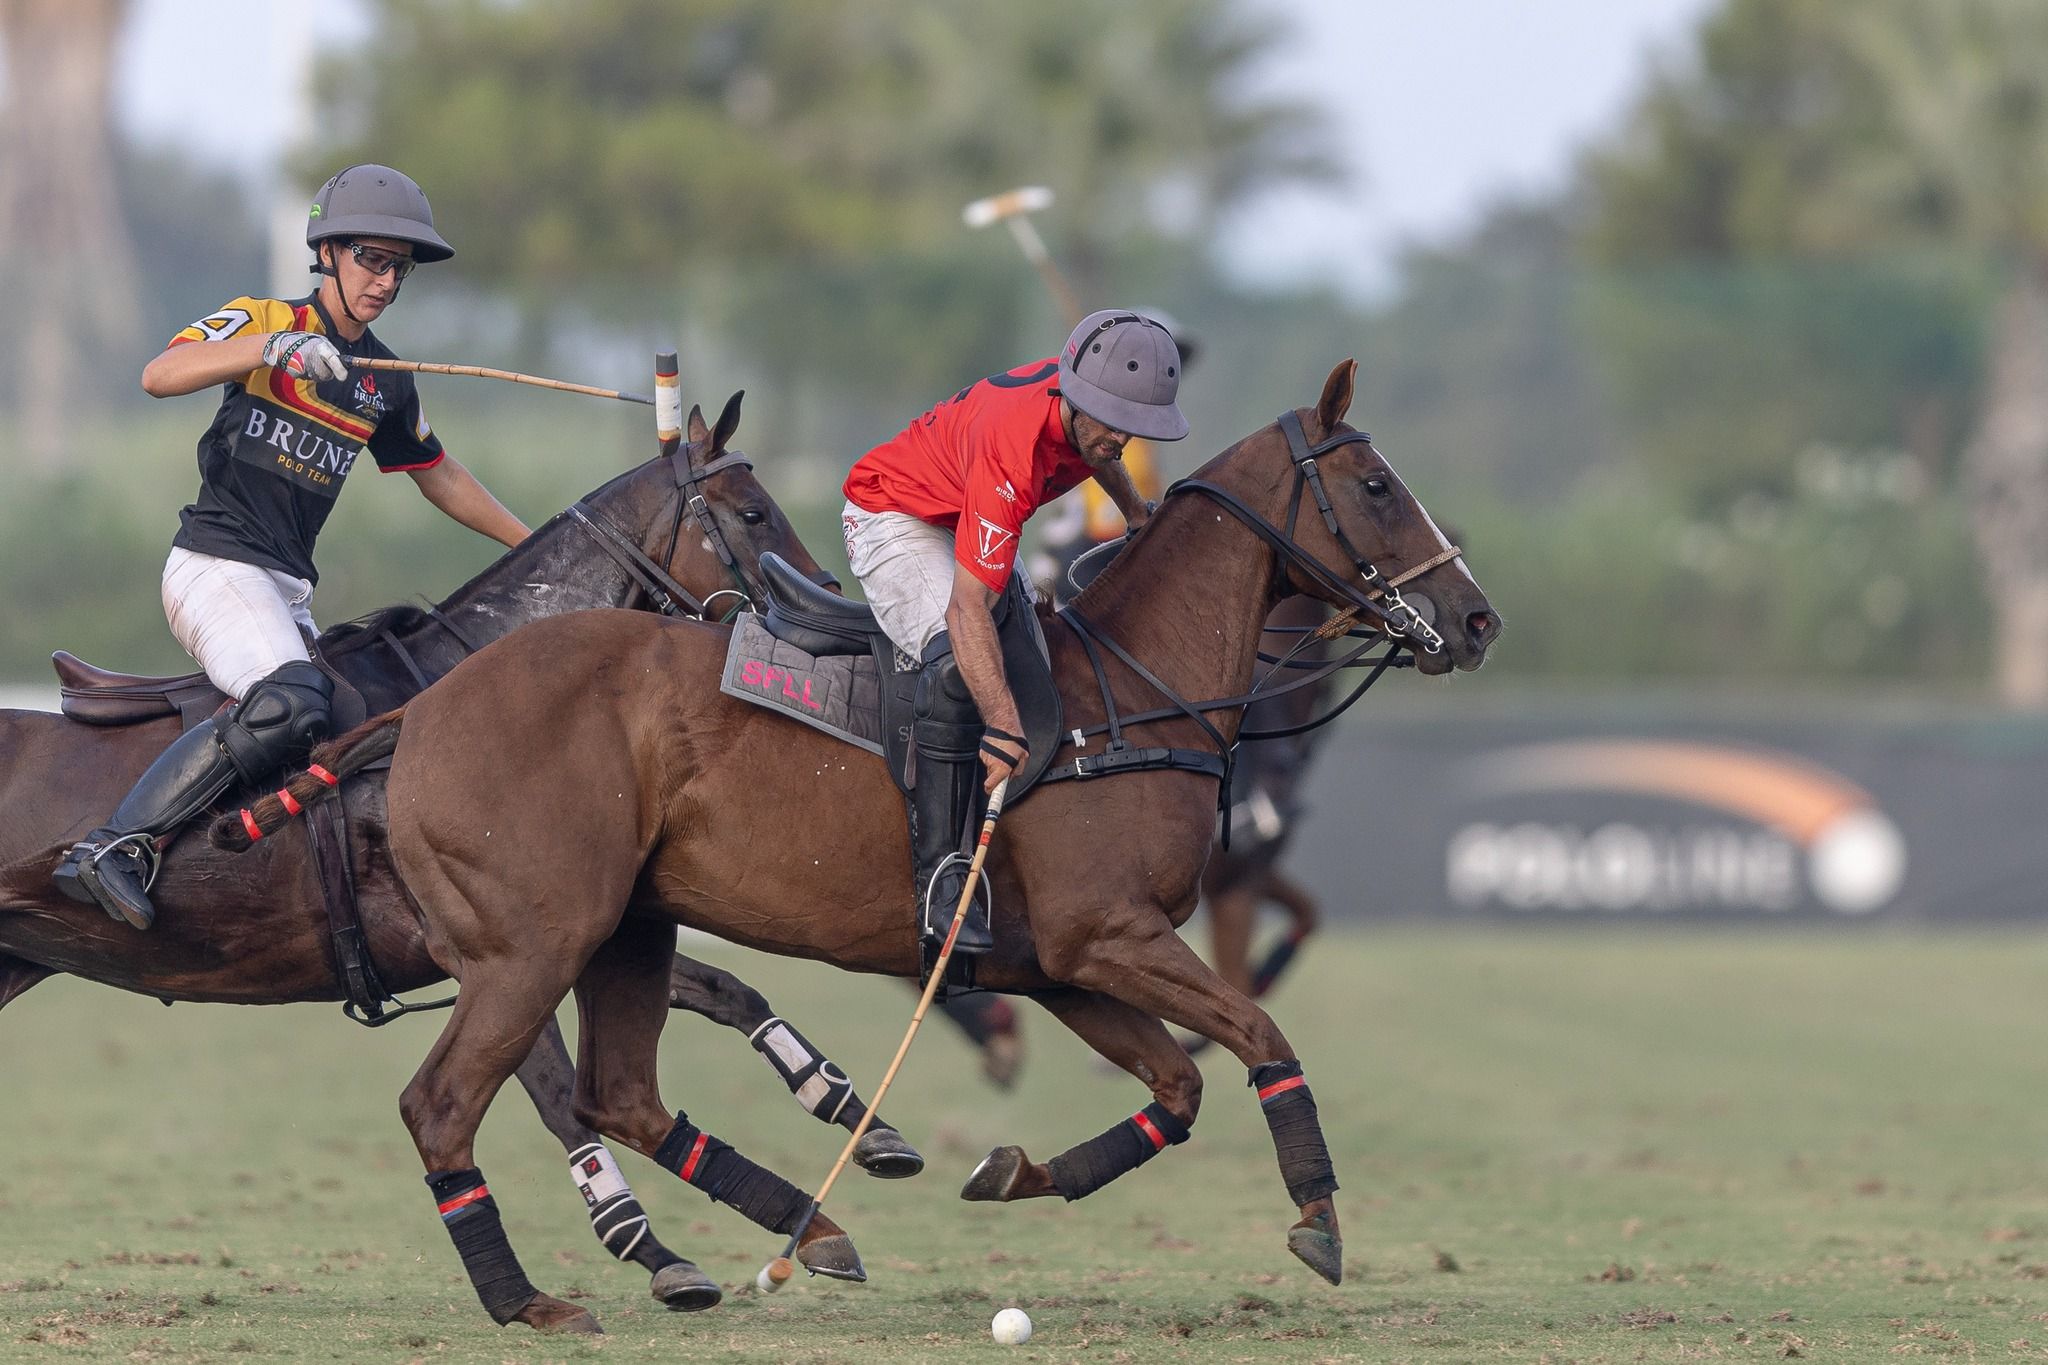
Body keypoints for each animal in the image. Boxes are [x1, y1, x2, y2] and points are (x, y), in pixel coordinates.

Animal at [0, 403, 901, 1326]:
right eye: (754, 513)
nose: (832, 617)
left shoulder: (555, 929)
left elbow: (725, 989)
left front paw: (857, 1117)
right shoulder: (495, 948)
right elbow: (560, 1098)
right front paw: (647, 1248)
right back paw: (107, 864)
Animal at [228, 358, 1507, 1326]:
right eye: (1375, 485)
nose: (1477, 619)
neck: (1128, 693)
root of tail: (420, 707)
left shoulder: (1061, 963)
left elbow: (1180, 1082)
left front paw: (1015, 1170)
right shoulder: (1107, 935)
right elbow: (1258, 1034)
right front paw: (1318, 1218)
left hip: (624, 930)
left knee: (617, 1095)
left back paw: (815, 1227)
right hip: (530, 944)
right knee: (446, 1106)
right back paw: (529, 1300)